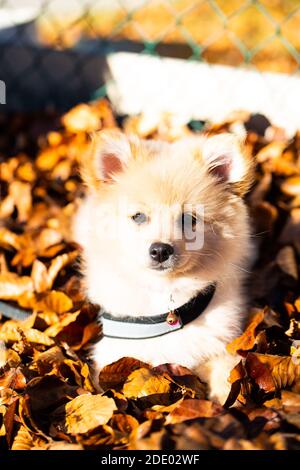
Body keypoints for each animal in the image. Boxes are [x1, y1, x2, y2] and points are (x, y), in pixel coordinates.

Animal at [74, 129, 254, 404]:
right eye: (138, 217)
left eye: (189, 219)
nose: (160, 250)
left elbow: (227, 376)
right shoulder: (114, 354)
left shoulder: (219, 344)